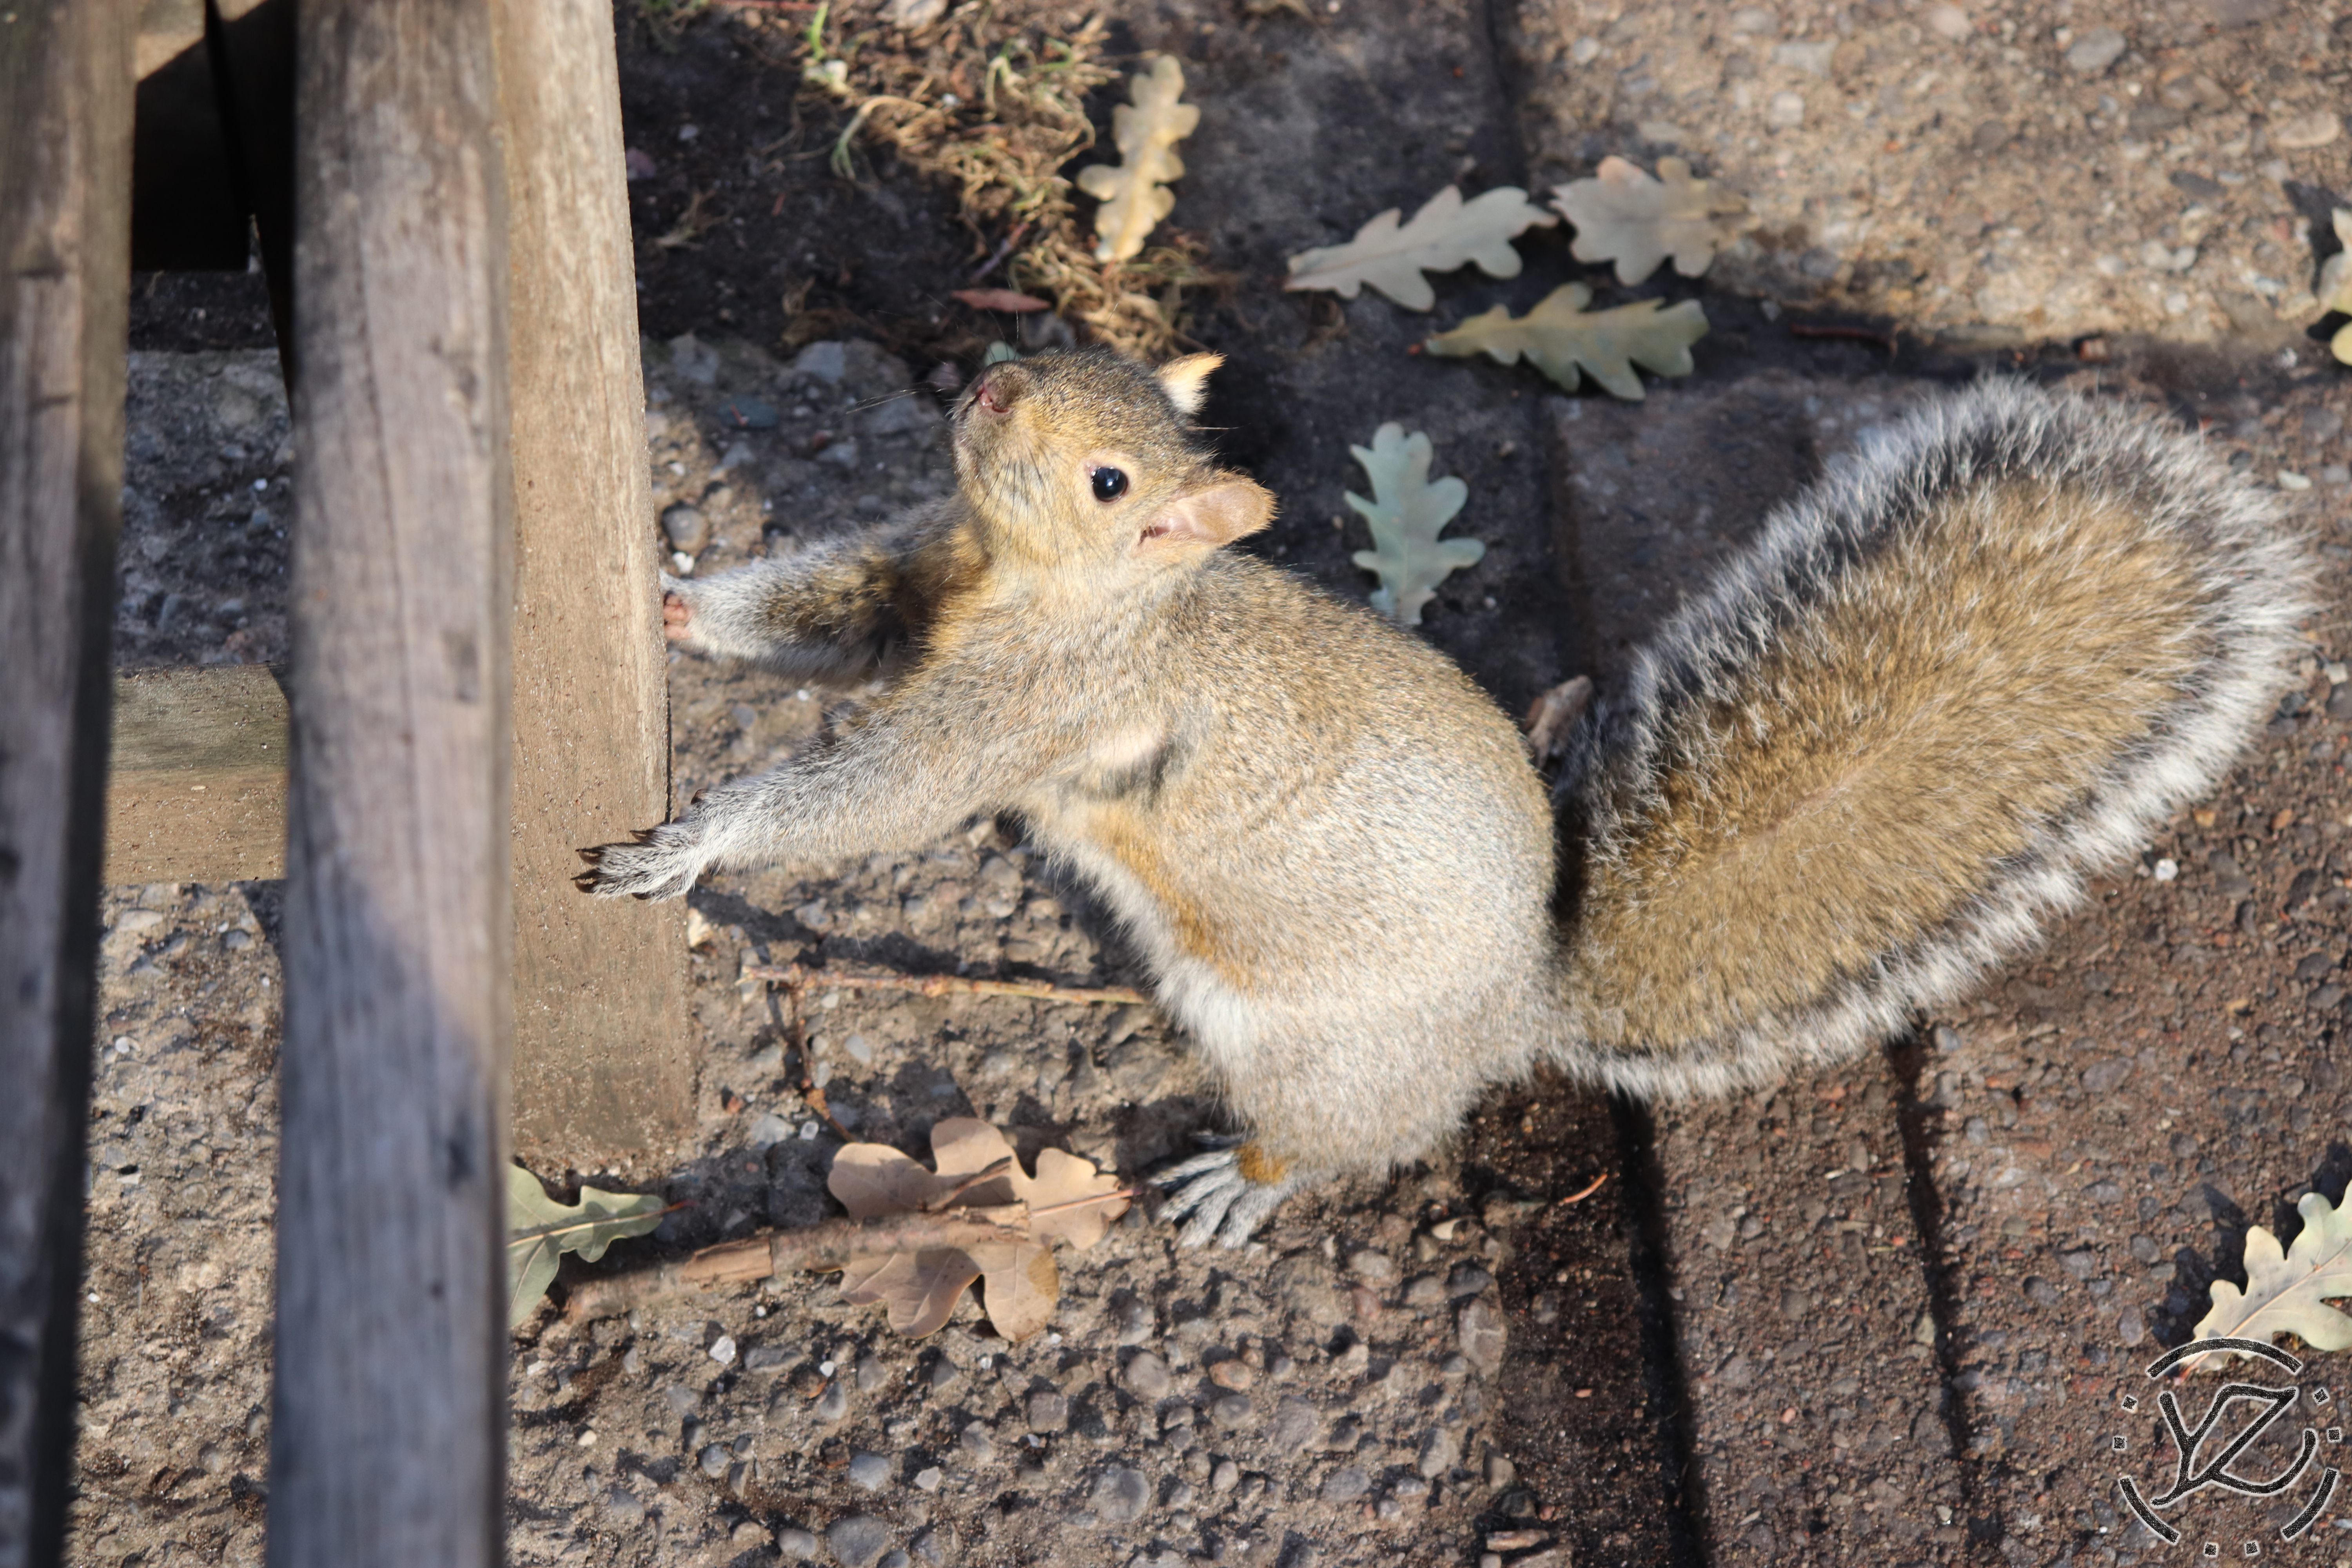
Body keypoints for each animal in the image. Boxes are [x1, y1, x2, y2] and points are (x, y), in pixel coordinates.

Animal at [582, 350, 2310, 1247]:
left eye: (1112, 482)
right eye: (1075, 364)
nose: (994, 381)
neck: (1054, 593)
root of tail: (1522, 1006)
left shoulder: (1035, 709)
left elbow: (880, 794)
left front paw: (698, 842)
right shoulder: (915, 587)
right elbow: (821, 618)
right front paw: (675, 606)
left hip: (1327, 1055)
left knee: (1352, 1134)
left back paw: (1243, 1182)